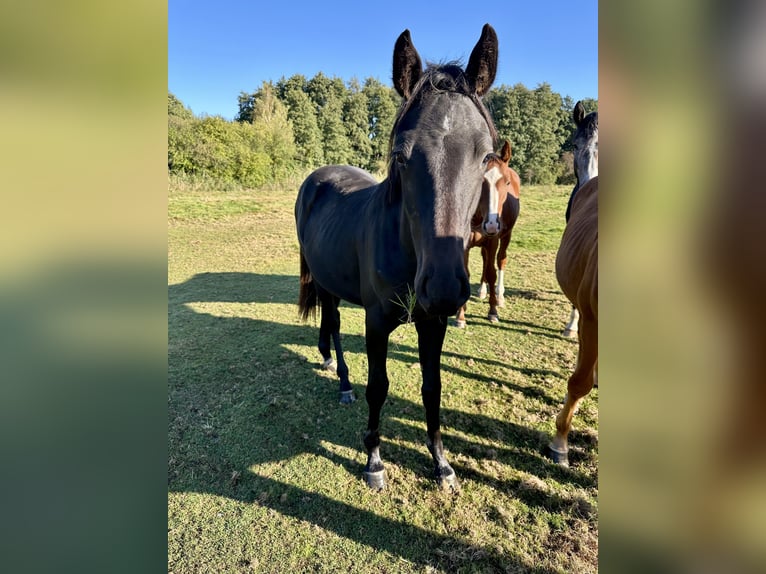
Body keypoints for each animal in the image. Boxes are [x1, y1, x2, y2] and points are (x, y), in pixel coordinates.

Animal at [295, 25, 499, 490]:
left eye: (486, 156)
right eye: (401, 155)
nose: (442, 288)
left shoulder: (433, 322)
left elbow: (432, 388)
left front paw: (442, 463)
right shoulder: (376, 320)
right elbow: (379, 386)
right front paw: (373, 460)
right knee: (334, 323)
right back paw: (342, 379)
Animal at [455, 140, 520, 327]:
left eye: (507, 182)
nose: (491, 225)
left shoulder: (493, 240)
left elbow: (492, 273)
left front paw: (493, 311)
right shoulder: (465, 243)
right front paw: (460, 315)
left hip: (506, 237)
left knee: (500, 261)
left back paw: (499, 297)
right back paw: (482, 291)